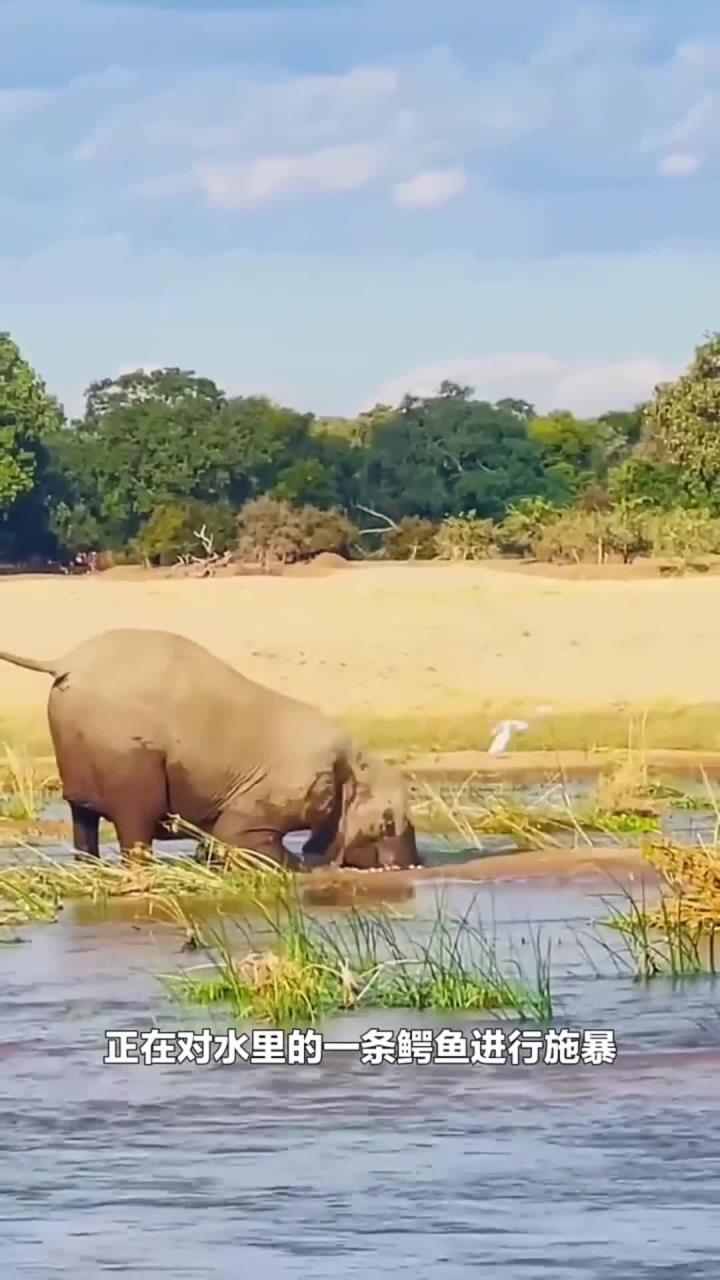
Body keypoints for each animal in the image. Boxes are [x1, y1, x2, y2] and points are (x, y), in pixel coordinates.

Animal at [0, 628, 421, 871]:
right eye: (386, 823)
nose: (413, 869)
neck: (358, 761)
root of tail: (64, 662)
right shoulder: (297, 785)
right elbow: (237, 838)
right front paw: (301, 870)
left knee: (83, 818)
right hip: (122, 747)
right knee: (135, 821)